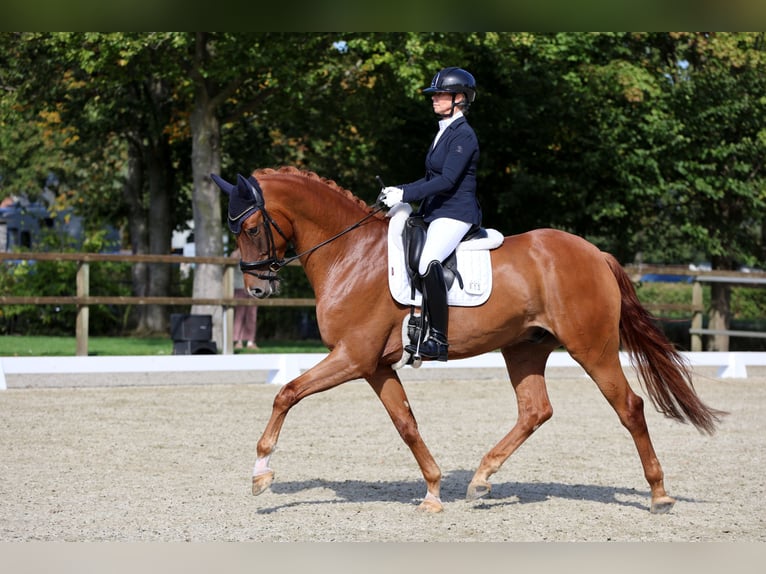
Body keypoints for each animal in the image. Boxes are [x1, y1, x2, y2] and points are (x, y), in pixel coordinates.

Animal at [211, 166, 725, 514]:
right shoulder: (374, 365)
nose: (257, 290)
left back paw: (659, 494)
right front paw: (433, 491)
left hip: (592, 348)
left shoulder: (352, 357)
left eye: (251, 228)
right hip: (524, 347)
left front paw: (261, 474)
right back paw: (481, 478)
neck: (349, 254)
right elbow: (406, 424)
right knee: (535, 410)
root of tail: (595, 253)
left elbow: (287, 393)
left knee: (629, 408)